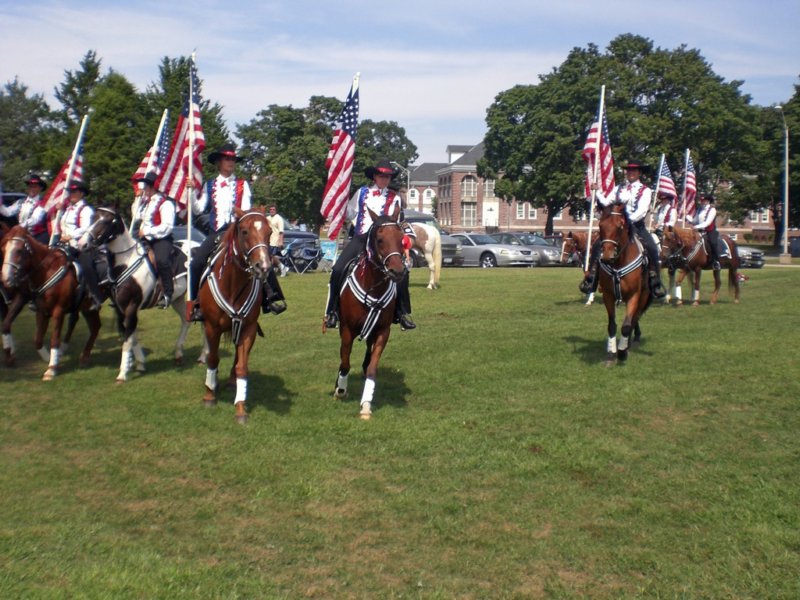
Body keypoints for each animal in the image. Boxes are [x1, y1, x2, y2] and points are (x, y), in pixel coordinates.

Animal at [0, 225, 101, 380]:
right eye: (3, 249)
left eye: (19, 250)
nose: (6, 278)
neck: (46, 271)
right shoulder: (41, 309)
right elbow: (36, 338)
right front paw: (48, 357)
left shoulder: (58, 310)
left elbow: (54, 339)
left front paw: (52, 368)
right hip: (85, 307)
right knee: (92, 326)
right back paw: (82, 357)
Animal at [80, 209, 206, 382]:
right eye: (93, 218)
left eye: (106, 221)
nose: (82, 243)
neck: (126, 262)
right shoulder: (122, 309)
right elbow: (132, 336)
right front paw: (139, 364)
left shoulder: (132, 306)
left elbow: (127, 340)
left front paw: (122, 374)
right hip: (178, 298)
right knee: (186, 320)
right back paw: (179, 354)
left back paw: (203, 357)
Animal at [196, 209, 272, 424]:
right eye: (244, 231)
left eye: (270, 232)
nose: (263, 266)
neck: (232, 283)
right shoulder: (212, 327)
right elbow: (213, 359)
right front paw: (209, 396)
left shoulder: (248, 328)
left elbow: (242, 367)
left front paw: (240, 408)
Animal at [330, 205, 410, 418]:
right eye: (380, 239)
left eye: (401, 238)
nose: (398, 271)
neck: (373, 287)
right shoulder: (347, 329)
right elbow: (345, 362)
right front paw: (340, 390)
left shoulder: (383, 331)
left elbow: (373, 367)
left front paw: (366, 404)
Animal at [596, 206, 652, 366]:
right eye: (600, 225)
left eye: (620, 226)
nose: (607, 256)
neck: (619, 262)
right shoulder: (608, 295)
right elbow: (612, 325)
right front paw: (611, 354)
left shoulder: (634, 295)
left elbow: (627, 326)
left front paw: (621, 353)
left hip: (643, 297)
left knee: (634, 319)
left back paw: (628, 345)